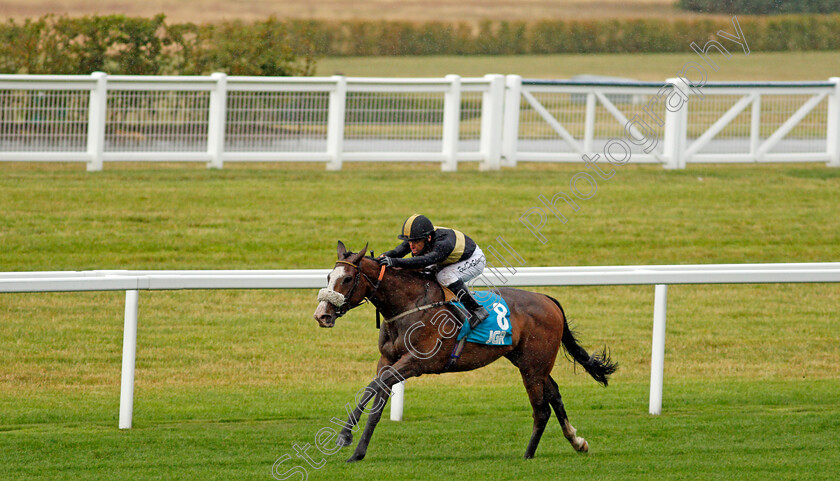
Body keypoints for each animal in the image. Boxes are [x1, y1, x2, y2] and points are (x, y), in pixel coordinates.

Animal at [314, 242, 616, 460]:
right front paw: (357, 451)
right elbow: (374, 398)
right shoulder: (387, 360)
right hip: (531, 363)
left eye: (348, 278)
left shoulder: (416, 363)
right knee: (554, 394)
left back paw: (528, 455)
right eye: (328, 276)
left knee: (541, 409)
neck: (409, 304)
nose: (322, 315)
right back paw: (577, 442)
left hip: (533, 366)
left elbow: (373, 387)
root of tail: (547, 299)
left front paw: (344, 437)